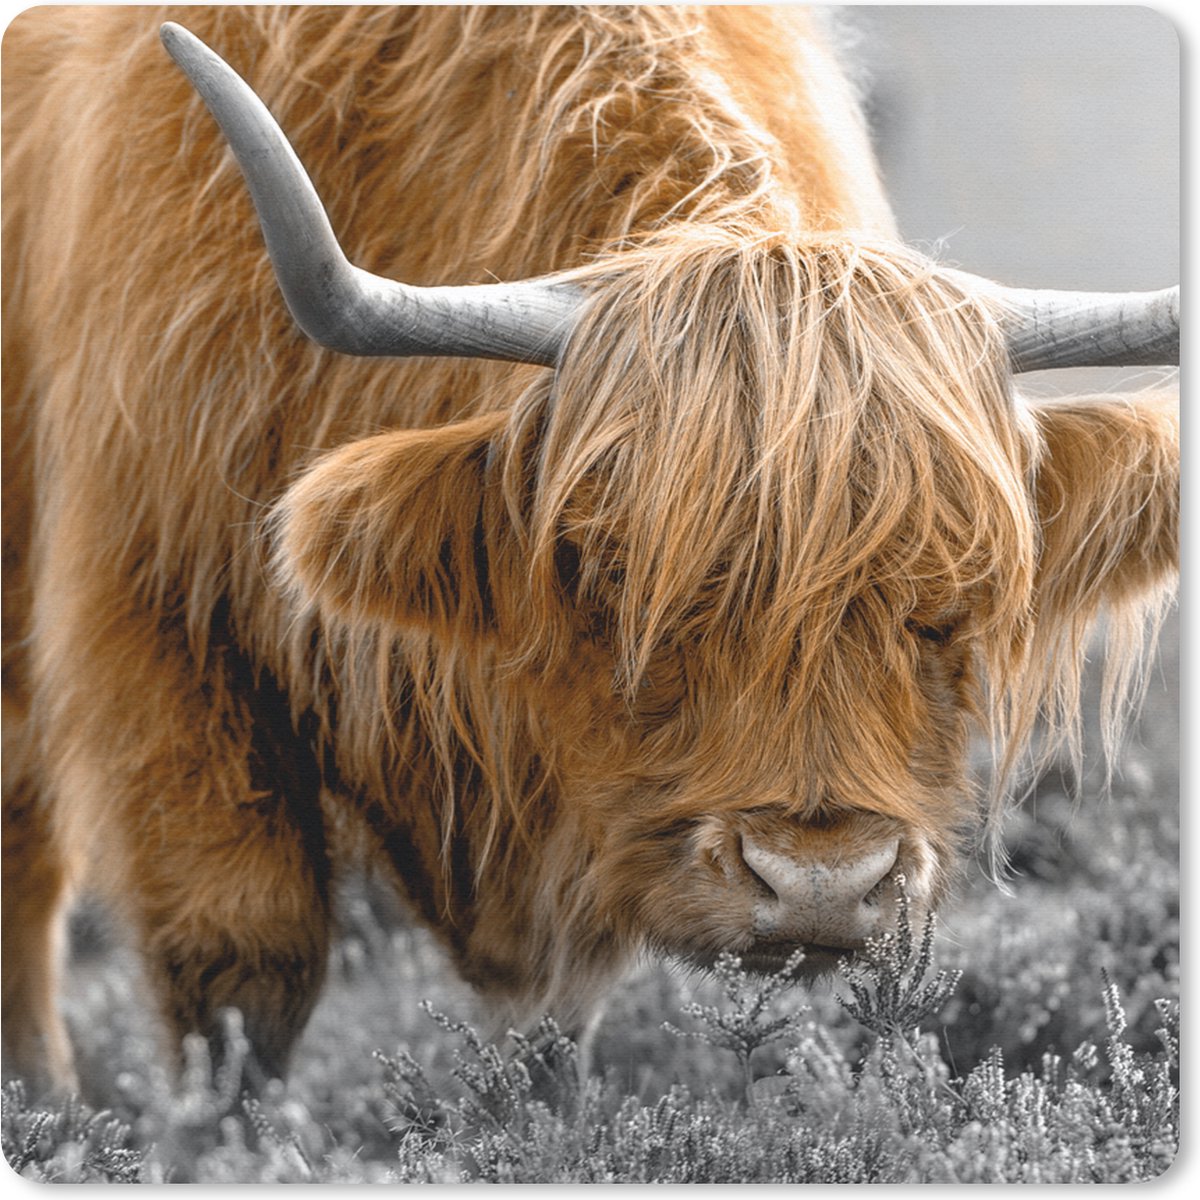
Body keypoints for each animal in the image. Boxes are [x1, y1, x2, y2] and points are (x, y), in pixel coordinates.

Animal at [1, 6, 1178, 1096]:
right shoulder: (162, 627)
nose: (820, 883)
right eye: (613, 572)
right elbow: (241, 967)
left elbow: (555, 1023)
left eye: (952, 597)